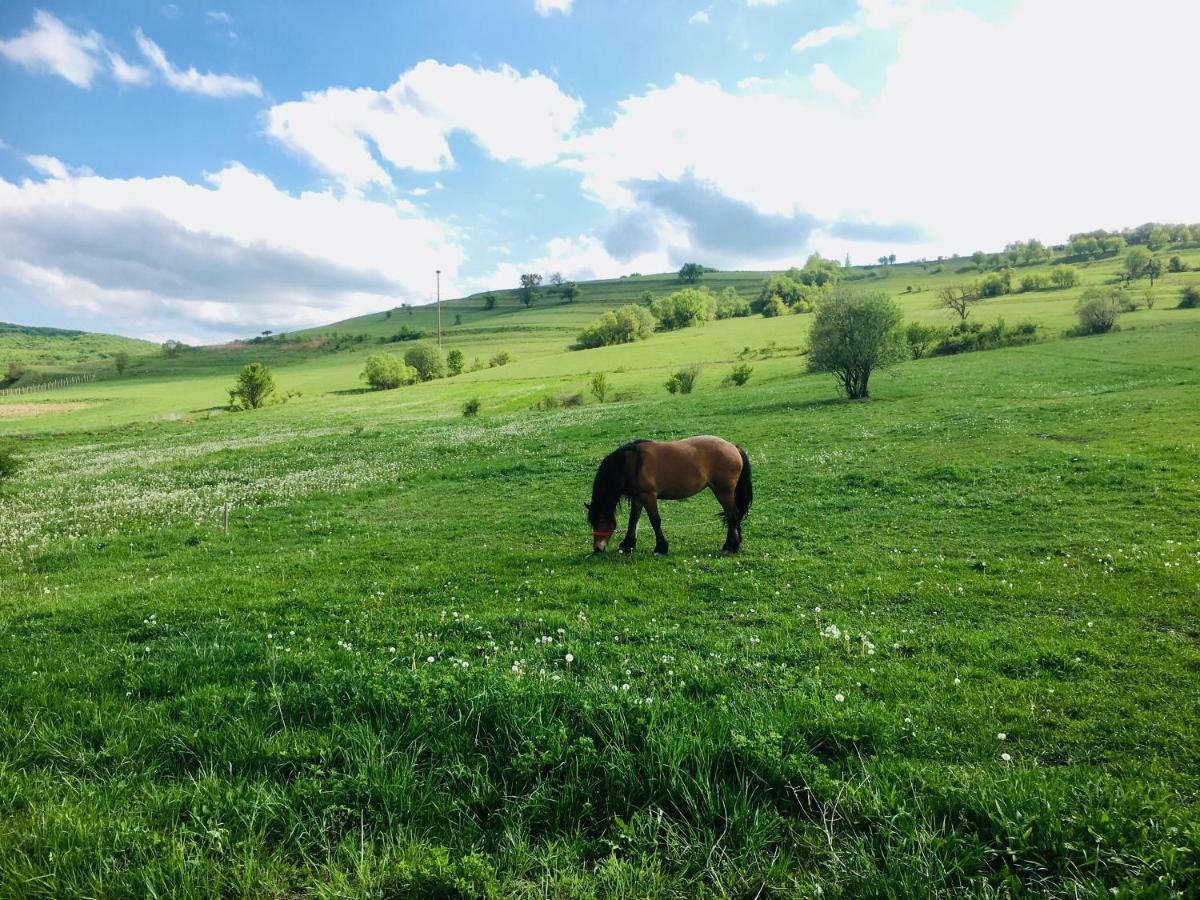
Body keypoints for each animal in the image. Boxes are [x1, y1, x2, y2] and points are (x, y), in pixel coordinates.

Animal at [588, 436, 748, 556]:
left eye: (600, 521)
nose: (597, 549)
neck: (631, 464)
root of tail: (734, 447)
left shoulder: (648, 496)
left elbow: (655, 521)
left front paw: (660, 548)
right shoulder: (638, 498)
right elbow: (633, 521)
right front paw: (628, 545)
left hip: (723, 492)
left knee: (732, 515)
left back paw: (729, 547)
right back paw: (736, 544)